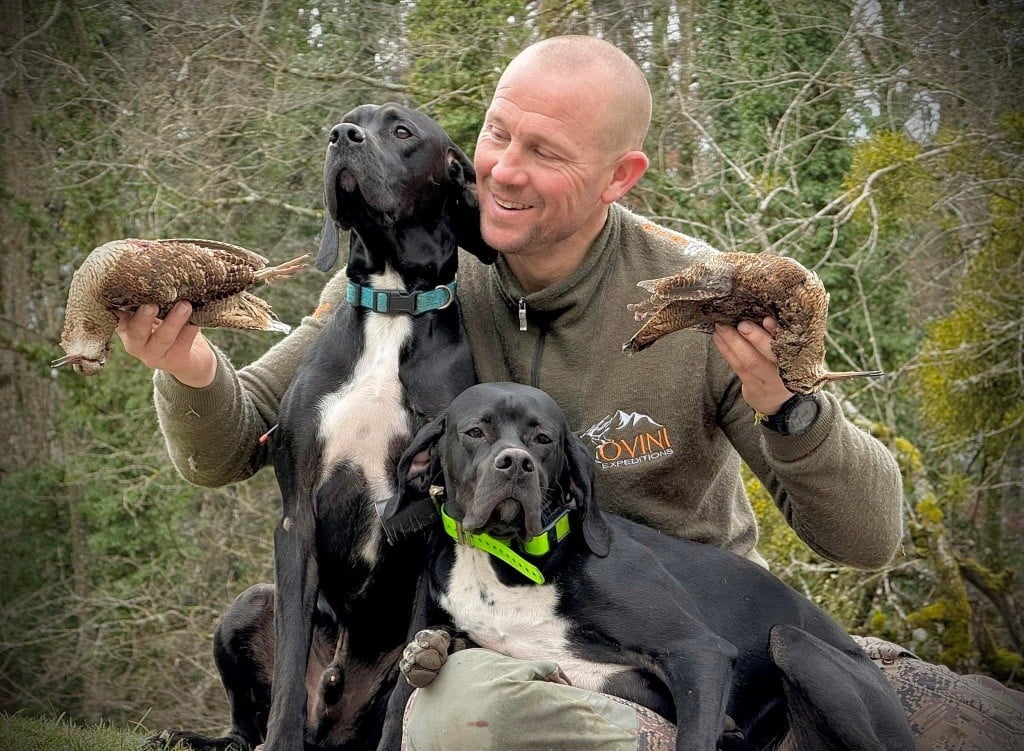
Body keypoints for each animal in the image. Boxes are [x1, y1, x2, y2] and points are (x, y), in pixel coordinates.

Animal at [145, 100, 495, 749]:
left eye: (402, 131)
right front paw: (278, 742)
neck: (392, 307)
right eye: (352, 119)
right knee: (246, 723)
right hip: (249, 604)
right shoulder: (298, 514)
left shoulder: (428, 527)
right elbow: (287, 663)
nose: (341, 137)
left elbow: (408, 686)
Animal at [380, 383, 917, 749]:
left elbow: (696, 735)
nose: (515, 463)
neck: (508, 561)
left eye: (543, 438)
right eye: (475, 432)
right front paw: (431, 653)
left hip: (795, 644)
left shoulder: (698, 653)